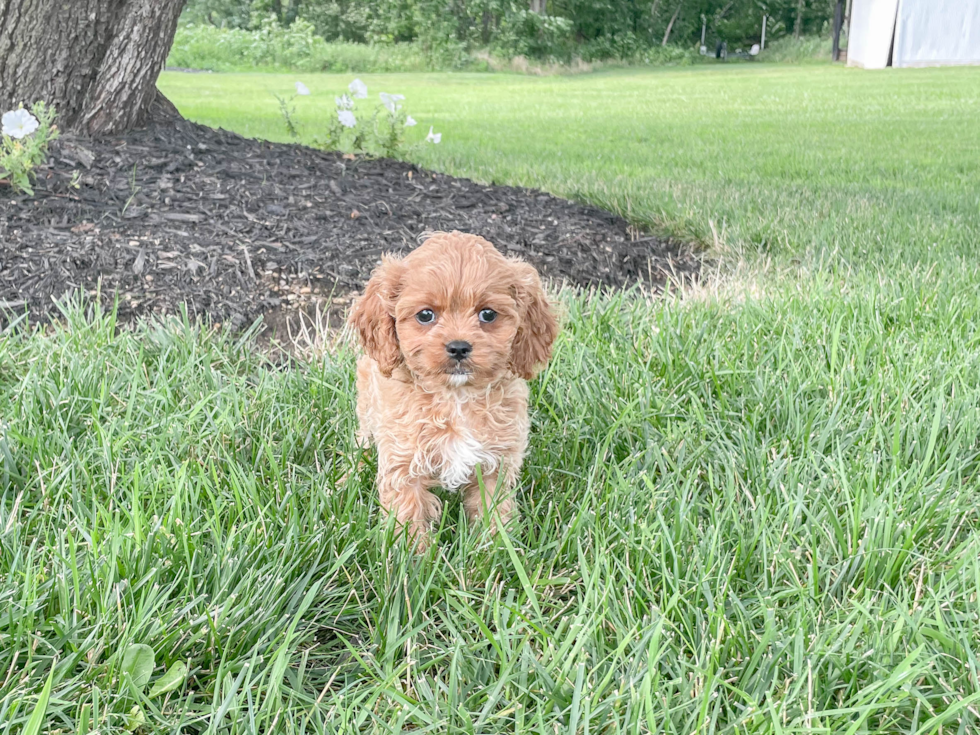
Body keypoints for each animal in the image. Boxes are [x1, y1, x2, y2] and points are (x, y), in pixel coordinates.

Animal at [350, 233, 560, 548]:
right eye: (426, 315)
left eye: (488, 314)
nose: (459, 347)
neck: (456, 397)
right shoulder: (404, 461)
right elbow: (408, 513)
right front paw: (413, 555)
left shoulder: (496, 463)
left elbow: (494, 508)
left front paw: (496, 547)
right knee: (361, 443)